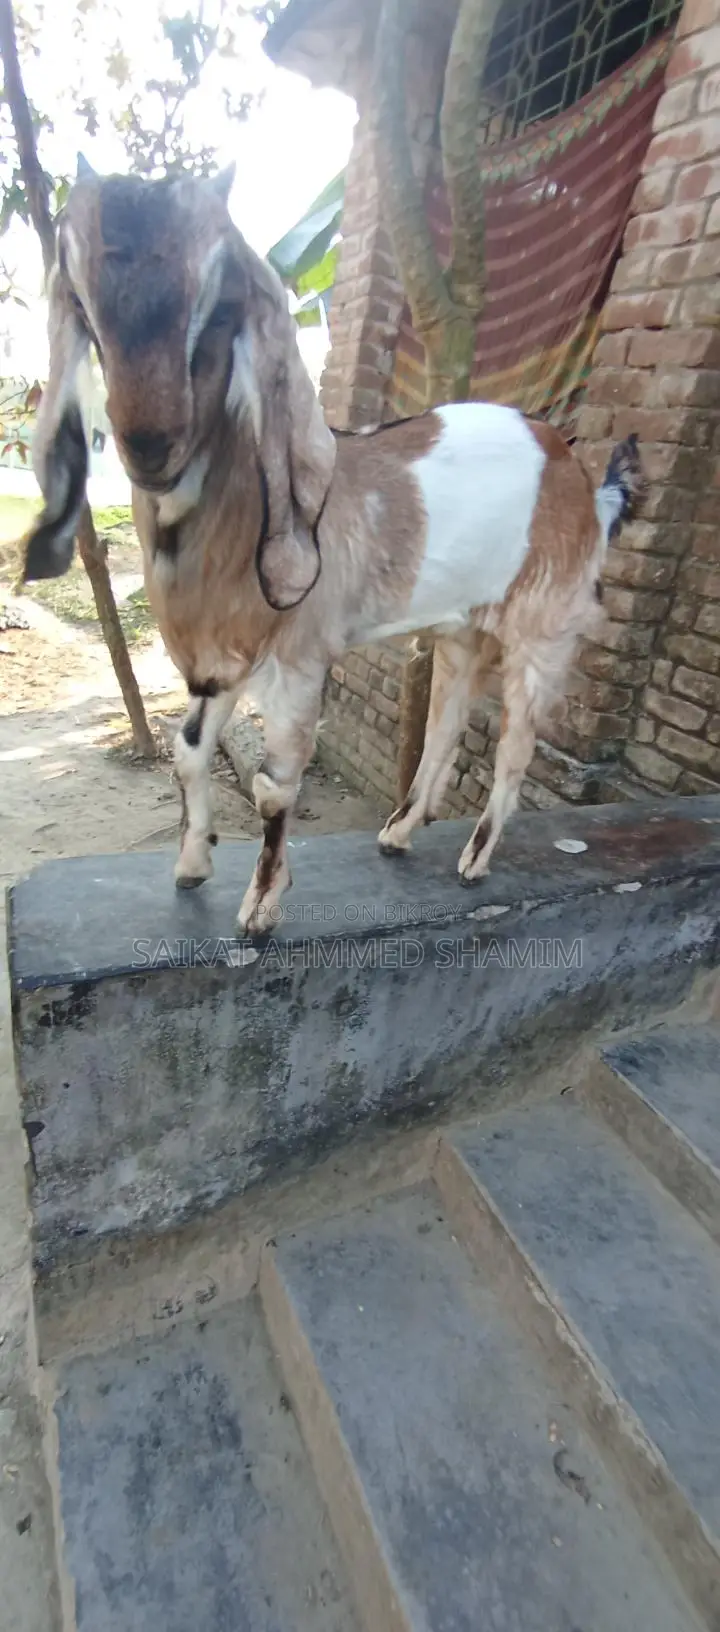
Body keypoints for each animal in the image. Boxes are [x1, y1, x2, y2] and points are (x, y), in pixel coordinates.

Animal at [22, 163, 643, 937]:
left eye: (221, 307)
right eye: (82, 303)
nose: (149, 444)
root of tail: (578, 475)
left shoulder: (300, 658)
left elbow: (272, 788)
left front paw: (260, 908)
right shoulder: (223, 659)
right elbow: (189, 751)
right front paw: (193, 864)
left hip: (543, 625)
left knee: (516, 744)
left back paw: (475, 859)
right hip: (465, 629)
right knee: (445, 725)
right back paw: (399, 832)